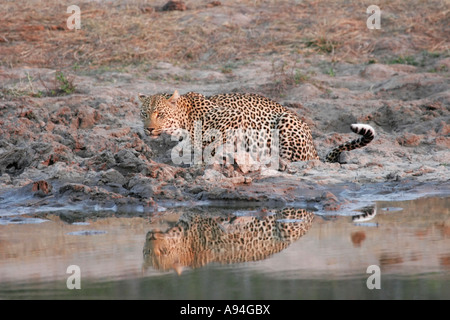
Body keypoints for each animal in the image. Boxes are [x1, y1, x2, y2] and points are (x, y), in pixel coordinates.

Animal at [138, 90, 376, 165]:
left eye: (160, 115)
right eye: (144, 114)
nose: (148, 129)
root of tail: (314, 150)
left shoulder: (235, 117)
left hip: (285, 123)